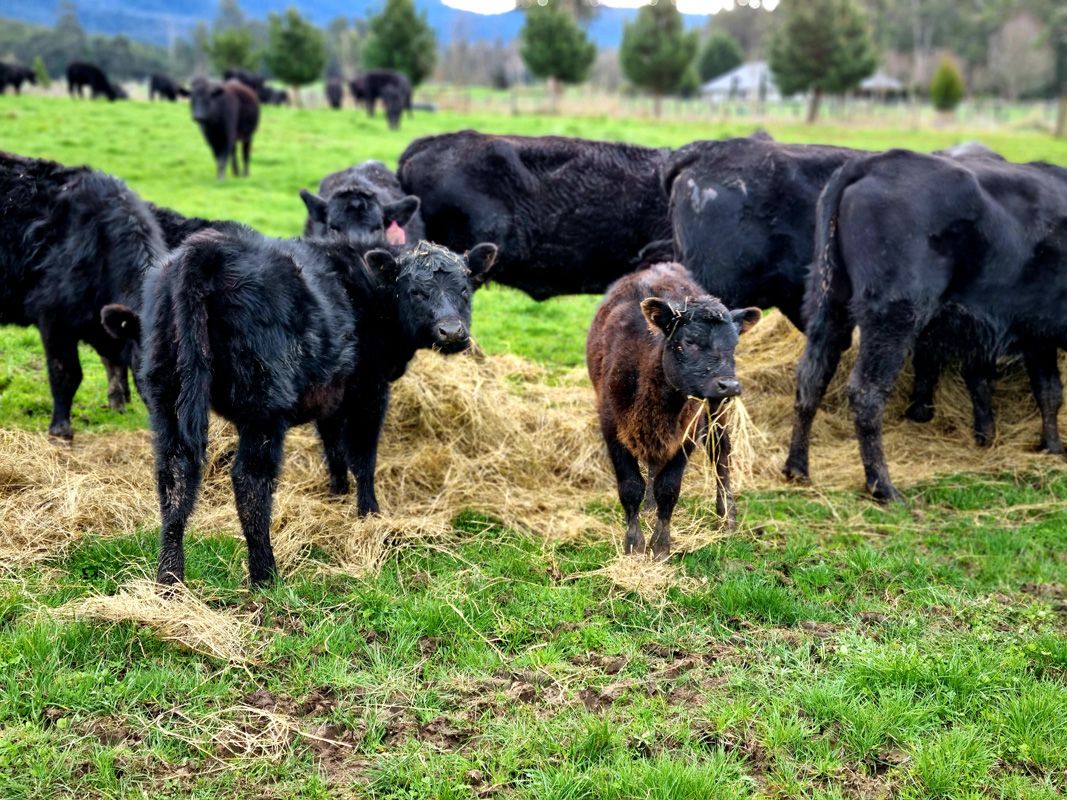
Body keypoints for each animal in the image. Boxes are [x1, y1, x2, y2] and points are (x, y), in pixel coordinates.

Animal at [103, 227, 497, 586]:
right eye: (417, 291)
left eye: (465, 289)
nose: (452, 332)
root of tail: (207, 248)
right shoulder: (370, 389)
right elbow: (363, 455)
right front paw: (369, 513)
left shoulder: (333, 392)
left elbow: (334, 447)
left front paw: (337, 493)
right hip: (264, 405)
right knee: (250, 480)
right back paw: (265, 575)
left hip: (167, 395)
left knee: (175, 475)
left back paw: (169, 579)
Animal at [588, 262, 760, 559]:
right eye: (689, 341)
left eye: (733, 344)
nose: (729, 385)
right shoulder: (611, 425)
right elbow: (631, 486)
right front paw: (634, 543)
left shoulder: (688, 430)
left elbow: (668, 488)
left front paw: (660, 545)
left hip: (714, 410)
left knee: (720, 452)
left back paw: (727, 516)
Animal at [784, 150, 1067, 503]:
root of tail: (872, 163)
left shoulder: (1038, 334)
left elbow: (1049, 391)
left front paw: (1052, 448)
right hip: (893, 315)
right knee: (866, 392)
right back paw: (883, 486)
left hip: (830, 304)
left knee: (811, 378)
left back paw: (797, 467)